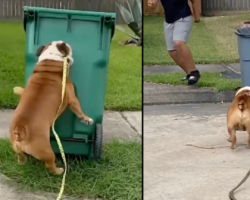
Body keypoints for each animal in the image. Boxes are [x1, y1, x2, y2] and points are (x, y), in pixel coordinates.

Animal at [9, 41, 94, 175]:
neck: (51, 58)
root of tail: (20, 131)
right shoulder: (73, 99)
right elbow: (79, 110)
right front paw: (86, 119)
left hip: (17, 149)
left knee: (21, 157)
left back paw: (23, 162)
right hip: (47, 152)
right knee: (50, 165)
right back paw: (59, 170)